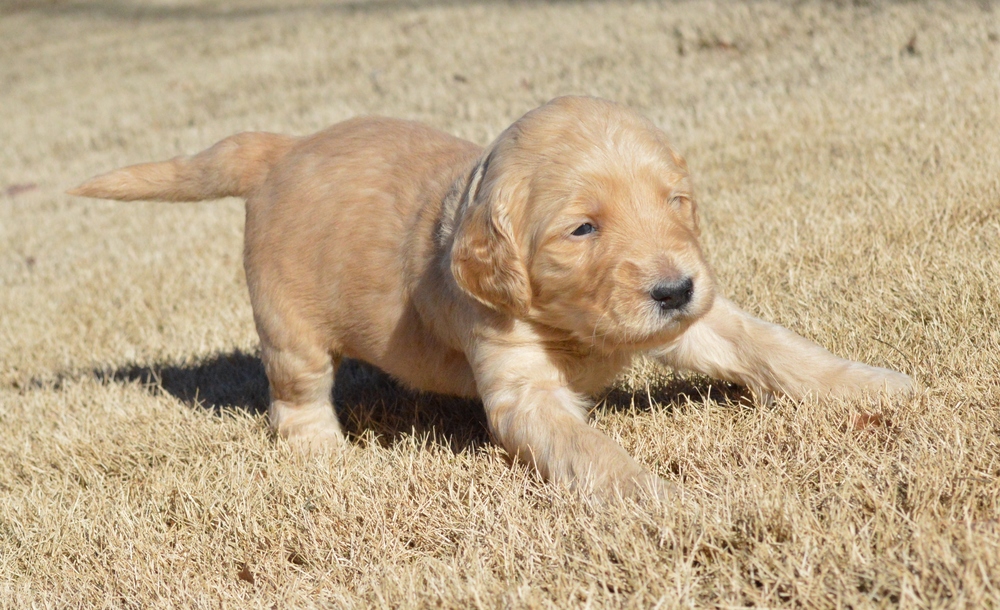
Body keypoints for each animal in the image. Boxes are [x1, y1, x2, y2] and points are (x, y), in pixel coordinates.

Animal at [70, 94, 916, 494]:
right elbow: (586, 447)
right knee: (295, 399)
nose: (675, 288)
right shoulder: (518, 383)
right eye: (583, 228)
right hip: (289, 326)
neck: (574, 323)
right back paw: (324, 454)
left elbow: (773, 346)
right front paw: (651, 495)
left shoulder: (693, 322)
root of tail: (283, 147)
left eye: (675, 200)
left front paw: (873, 384)